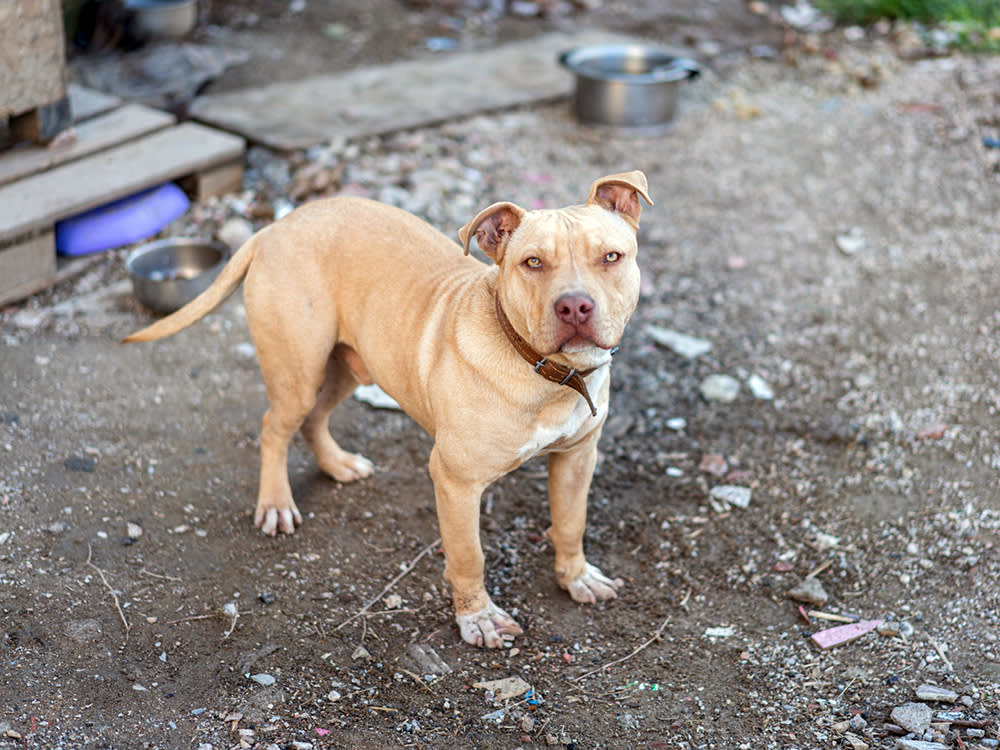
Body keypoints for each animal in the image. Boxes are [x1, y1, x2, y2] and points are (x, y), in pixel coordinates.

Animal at [125, 169, 652, 648]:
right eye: (533, 262)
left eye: (610, 257)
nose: (574, 306)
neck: (547, 374)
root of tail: (277, 226)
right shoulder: (456, 482)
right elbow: (468, 556)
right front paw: (478, 619)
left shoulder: (577, 457)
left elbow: (571, 523)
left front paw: (576, 577)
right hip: (298, 372)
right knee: (275, 428)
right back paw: (275, 505)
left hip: (350, 365)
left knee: (314, 420)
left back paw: (337, 464)